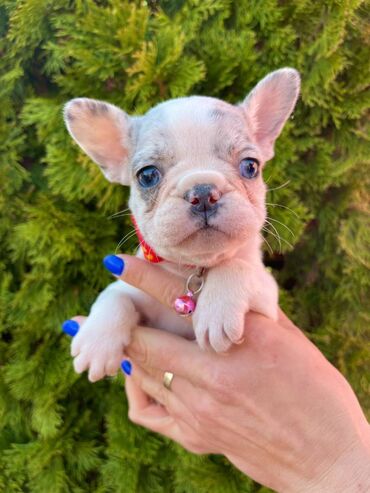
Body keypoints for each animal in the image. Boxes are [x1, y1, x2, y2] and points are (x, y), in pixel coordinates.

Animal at [63, 66, 300, 380]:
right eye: (147, 175)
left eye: (251, 166)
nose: (203, 192)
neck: (193, 267)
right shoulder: (133, 290)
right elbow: (115, 294)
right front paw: (96, 341)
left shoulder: (268, 301)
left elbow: (237, 266)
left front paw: (216, 310)